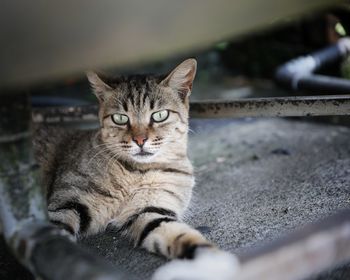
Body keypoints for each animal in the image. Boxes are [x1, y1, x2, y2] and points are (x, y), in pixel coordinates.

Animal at [34, 59, 219, 260]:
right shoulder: (65, 204)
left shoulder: (150, 211)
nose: (140, 140)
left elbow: (181, 235)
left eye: (160, 115)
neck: (137, 172)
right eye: (120, 118)